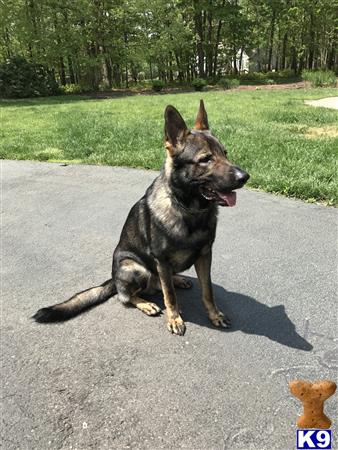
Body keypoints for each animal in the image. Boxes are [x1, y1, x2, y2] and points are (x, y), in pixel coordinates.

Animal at [33, 101, 248, 334]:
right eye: (206, 159)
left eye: (225, 153)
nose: (245, 177)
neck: (189, 210)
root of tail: (113, 278)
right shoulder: (162, 260)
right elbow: (170, 297)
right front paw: (175, 318)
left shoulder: (205, 256)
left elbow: (207, 292)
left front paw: (214, 315)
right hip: (136, 268)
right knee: (128, 296)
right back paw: (146, 303)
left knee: (160, 284)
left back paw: (177, 280)